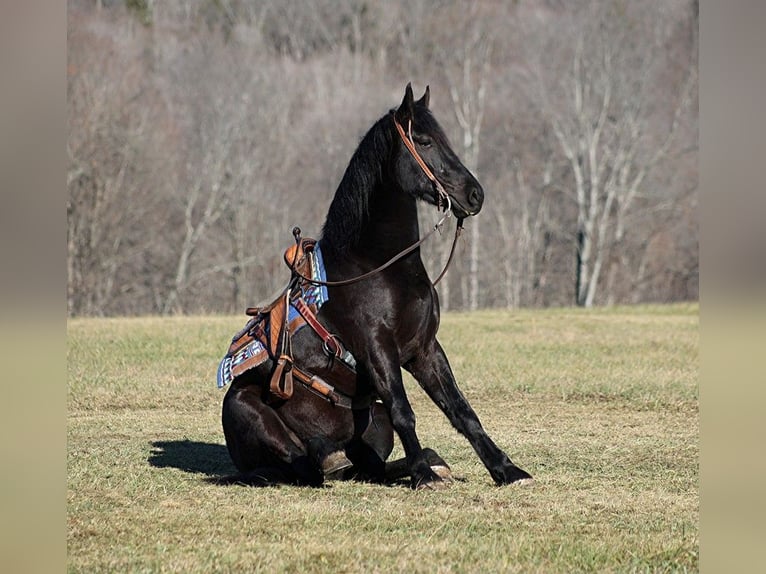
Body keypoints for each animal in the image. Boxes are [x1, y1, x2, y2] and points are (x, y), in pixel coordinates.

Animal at [220, 84, 536, 490]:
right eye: (424, 141)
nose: (474, 194)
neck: (377, 266)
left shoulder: (424, 349)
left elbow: (461, 410)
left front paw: (506, 469)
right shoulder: (377, 348)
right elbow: (405, 410)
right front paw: (423, 476)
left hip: (376, 423)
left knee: (367, 467)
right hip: (257, 418)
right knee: (305, 469)